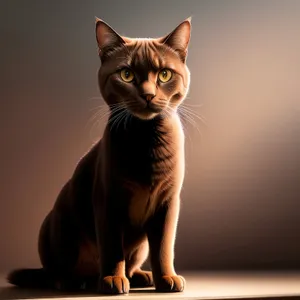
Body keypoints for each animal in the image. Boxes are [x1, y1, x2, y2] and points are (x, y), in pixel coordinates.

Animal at [7, 17, 192, 296]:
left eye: (164, 74)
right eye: (126, 74)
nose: (148, 94)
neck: (147, 139)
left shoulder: (168, 203)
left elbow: (163, 247)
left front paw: (166, 278)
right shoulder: (108, 199)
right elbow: (113, 247)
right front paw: (112, 279)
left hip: (139, 247)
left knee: (133, 261)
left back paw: (141, 276)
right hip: (54, 226)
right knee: (56, 272)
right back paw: (76, 281)